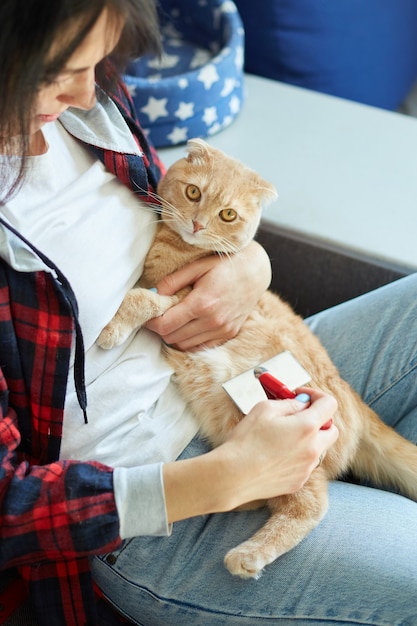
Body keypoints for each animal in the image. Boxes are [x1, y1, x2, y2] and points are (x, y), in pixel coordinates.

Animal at [98, 139, 417, 576]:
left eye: (228, 214)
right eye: (194, 192)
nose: (197, 224)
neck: (177, 251)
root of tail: (353, 399)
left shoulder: (183, 304)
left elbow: (139, 297)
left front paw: (111, 328)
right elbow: (142, 292)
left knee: (310, 503)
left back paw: (249, 554)